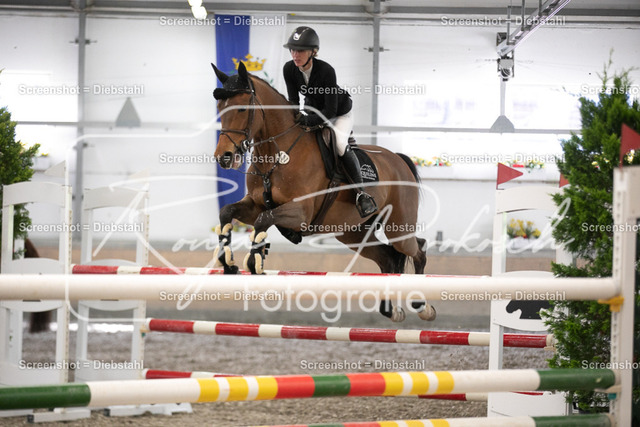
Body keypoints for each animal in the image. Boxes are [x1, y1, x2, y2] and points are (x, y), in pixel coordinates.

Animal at [211, 61, 435, 322]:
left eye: (242, 109)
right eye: (220, 108)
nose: (224, 157)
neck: (276, 154)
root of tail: (398, 160)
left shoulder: (301, 213)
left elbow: (263, 220)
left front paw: (255, 261)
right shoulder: (254, 204)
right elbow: (228, 212)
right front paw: (228, 262)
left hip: (397, 227)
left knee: (418, 248)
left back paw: (423, 307)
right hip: (353, 233)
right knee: (388, 258)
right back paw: (392, 310)